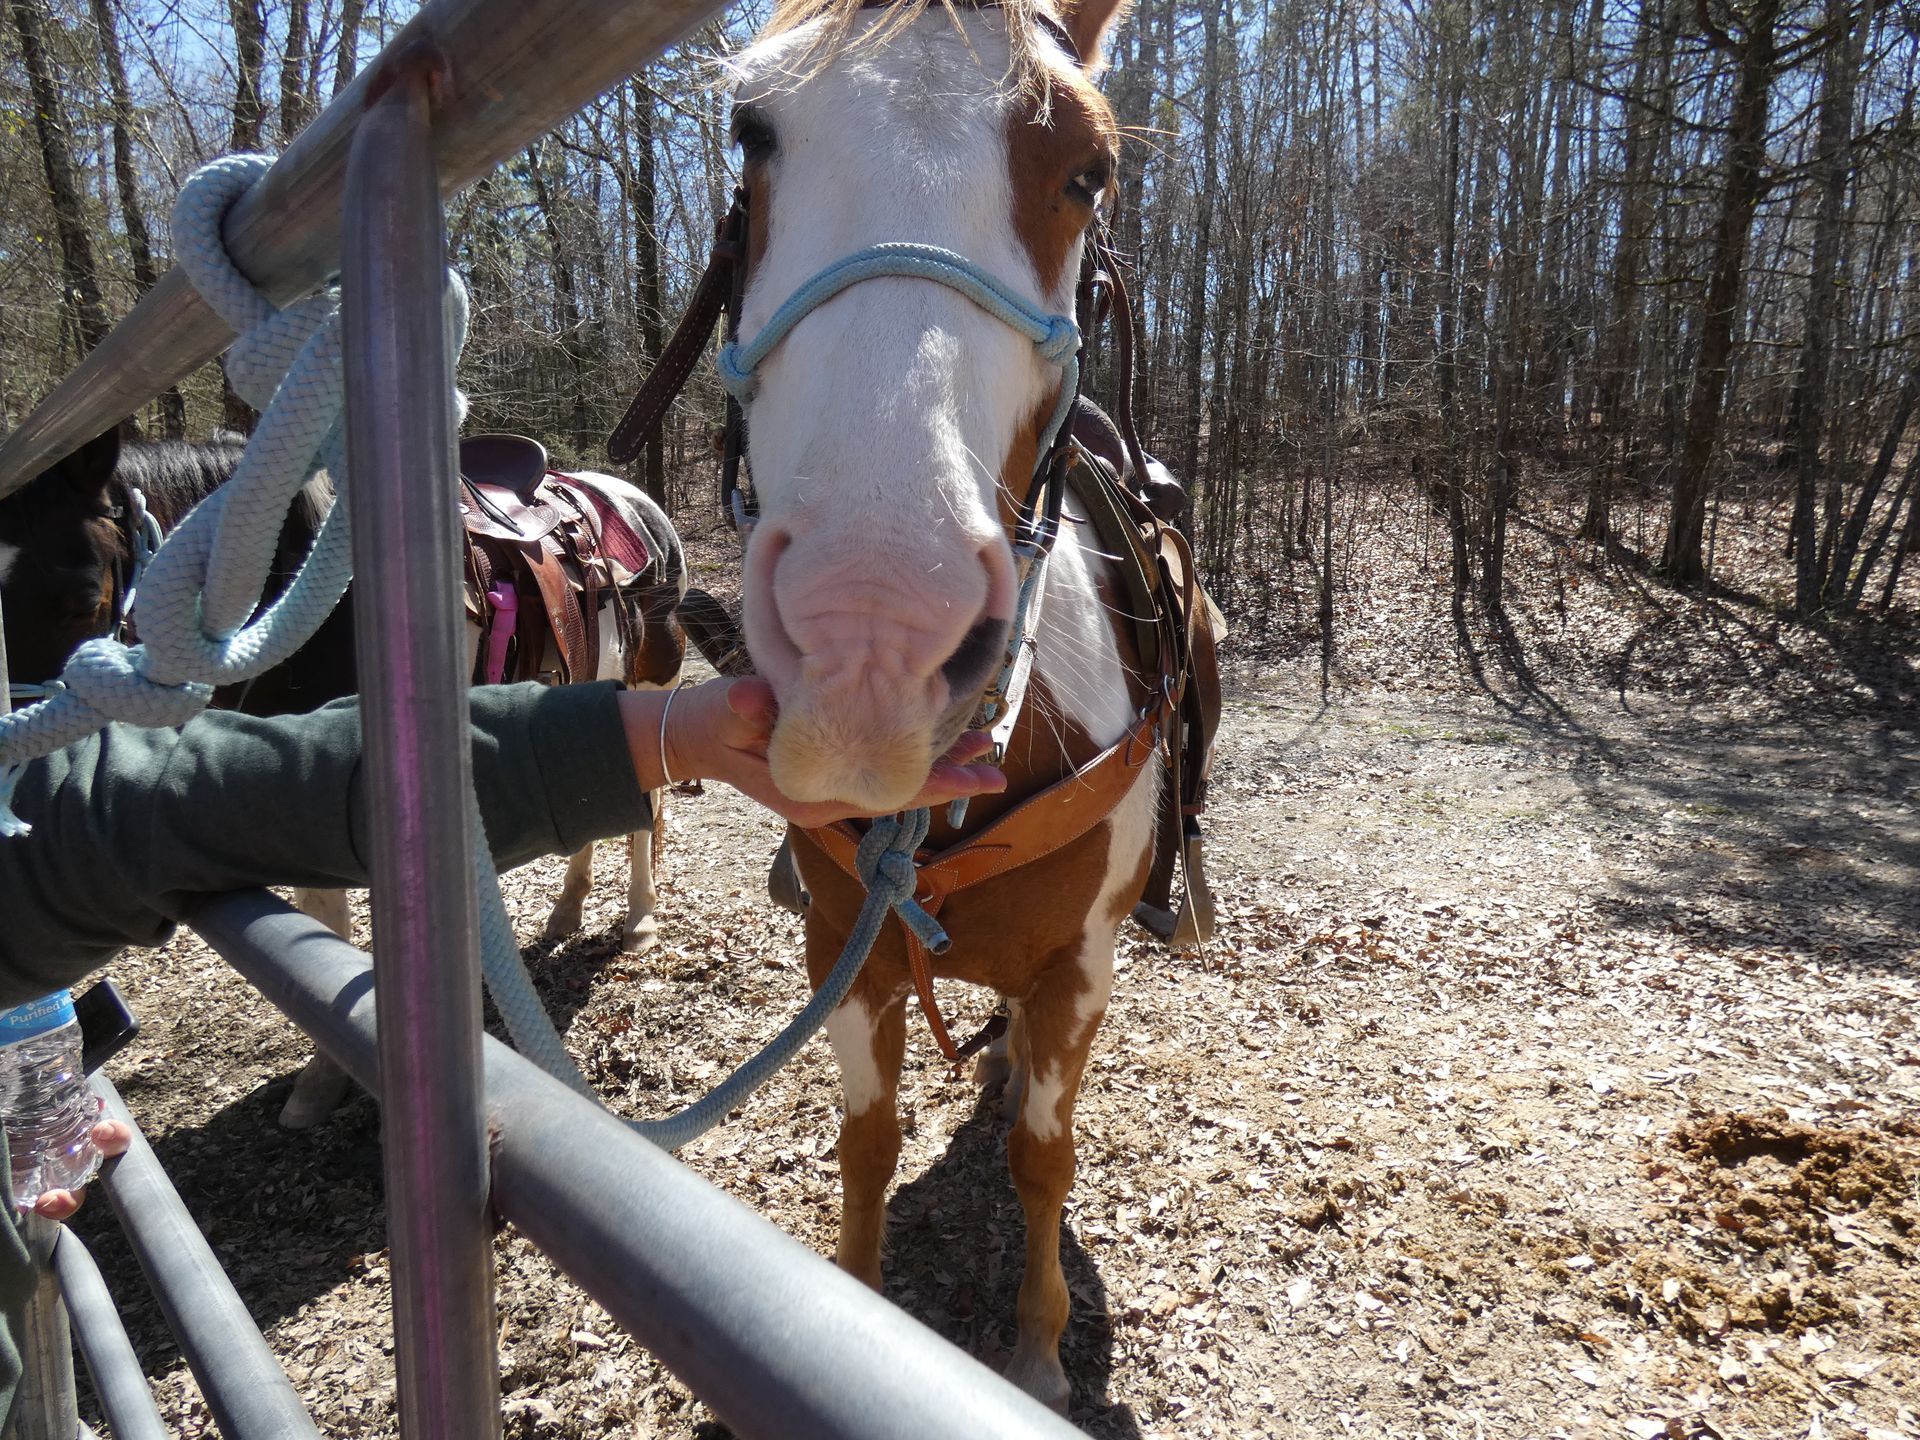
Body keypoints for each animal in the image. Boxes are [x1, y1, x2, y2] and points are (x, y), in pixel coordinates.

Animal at [0, 423, 690, 1124]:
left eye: (83, 601)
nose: (30, 772)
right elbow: (325, 925)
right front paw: (325, 1076)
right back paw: (568, 907)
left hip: (647, 683)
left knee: (649, 804)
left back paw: (639, 918)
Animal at [704, 0, 1221, 1408]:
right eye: (753, 128)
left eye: (1089, 169)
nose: (872, 629)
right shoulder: (848, 953)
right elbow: (868, 1144)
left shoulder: (1080, 967)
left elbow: (1044, 1158)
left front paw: (1037, 1352)